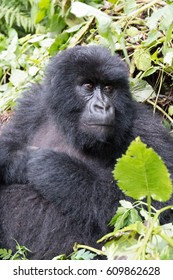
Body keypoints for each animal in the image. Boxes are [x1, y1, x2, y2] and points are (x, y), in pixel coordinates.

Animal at [0, 44, 173, 260]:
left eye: (109, 89)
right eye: (88, 86)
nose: (103, 106)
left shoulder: (143, 127)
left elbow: (156, 203)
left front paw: (52, 168)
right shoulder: (32, 107)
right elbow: (6, 143)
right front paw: (24, 160)